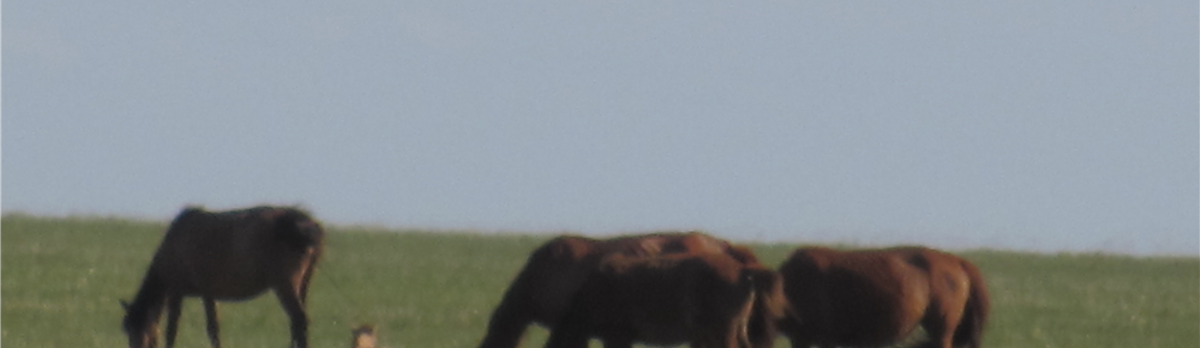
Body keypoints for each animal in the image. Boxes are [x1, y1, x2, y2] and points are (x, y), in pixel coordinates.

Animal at [118, 205, 324, 348]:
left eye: (140, 329)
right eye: (127, 330)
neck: (172, 248)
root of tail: (311, 227)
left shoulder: (179, 289)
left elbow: (174, 329)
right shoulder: (208, 292)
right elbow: (213, 328)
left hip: (284, 281)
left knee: (299, 319)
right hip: (305, 280)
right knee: (297, 322)